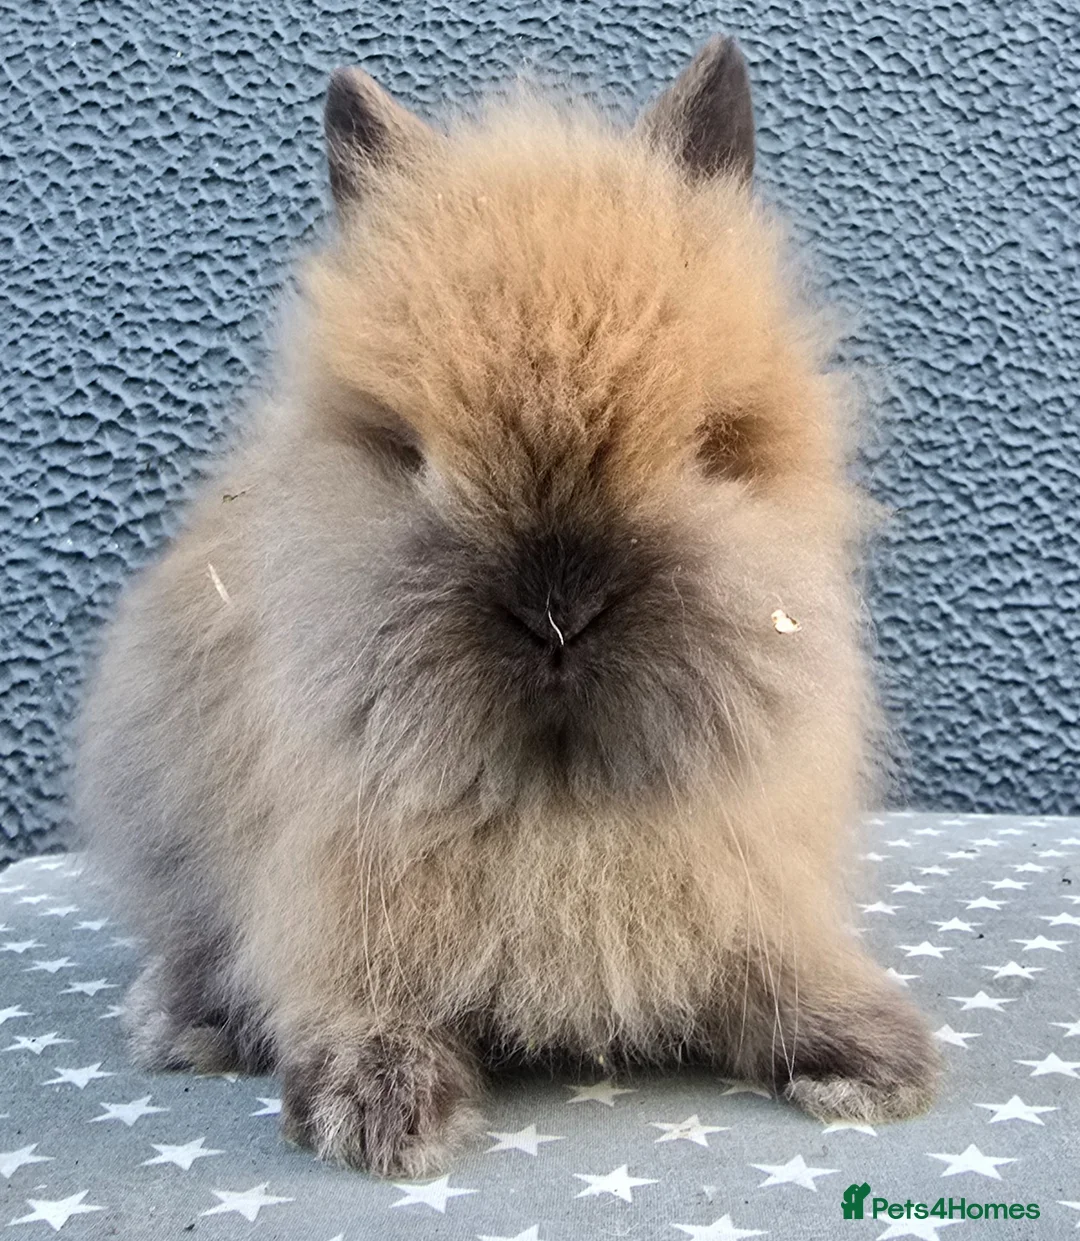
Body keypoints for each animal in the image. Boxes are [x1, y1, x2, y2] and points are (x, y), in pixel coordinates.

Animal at [74, 33, 941, 1178]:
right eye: (405, 451)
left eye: (713, 443)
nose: (559, 608)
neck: (557, 798)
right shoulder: (325, 896)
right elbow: (350, 990)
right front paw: (380, 1111)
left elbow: (773, 967)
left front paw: (877, 1060)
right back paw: (186, 1022)